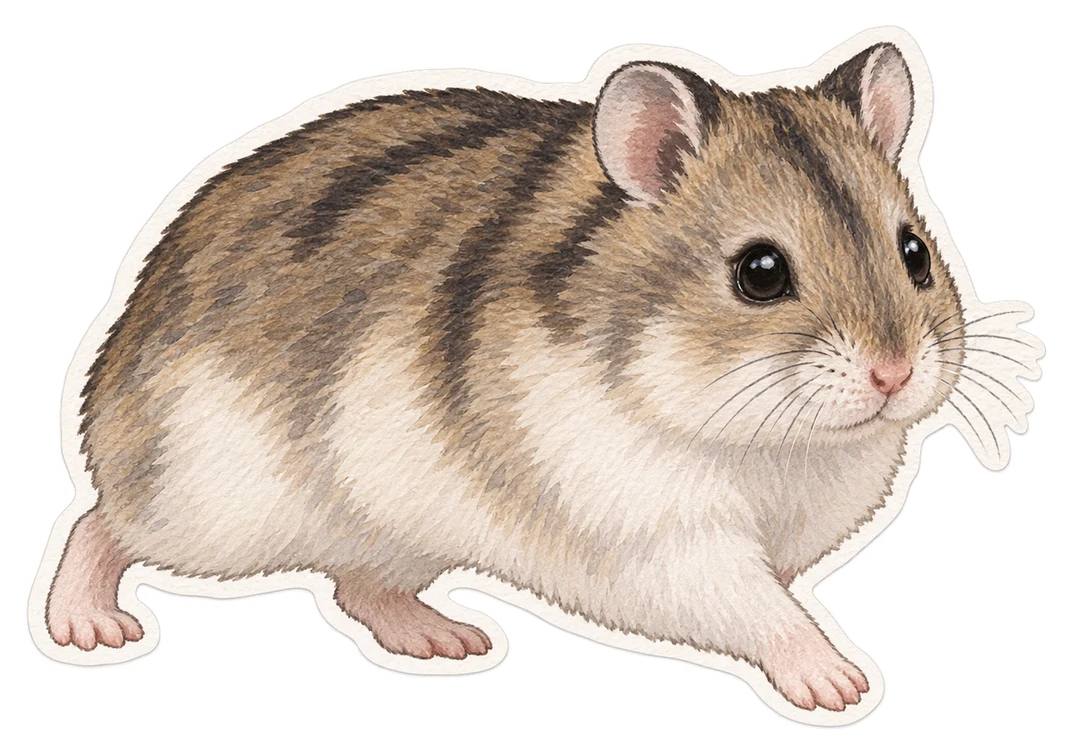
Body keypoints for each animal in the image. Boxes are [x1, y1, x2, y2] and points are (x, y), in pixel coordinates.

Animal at [47, 43, 964, 711]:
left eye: (915, 253)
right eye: (760, 273)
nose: (895, 373)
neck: (757, 435)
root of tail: (112, 384)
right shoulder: (652, 532)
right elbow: (756, 606)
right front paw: (842, 684)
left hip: (385, 530)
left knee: (356, 583)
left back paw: (449, 641)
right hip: (210, 504)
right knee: (101, 524)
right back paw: (87, 628)